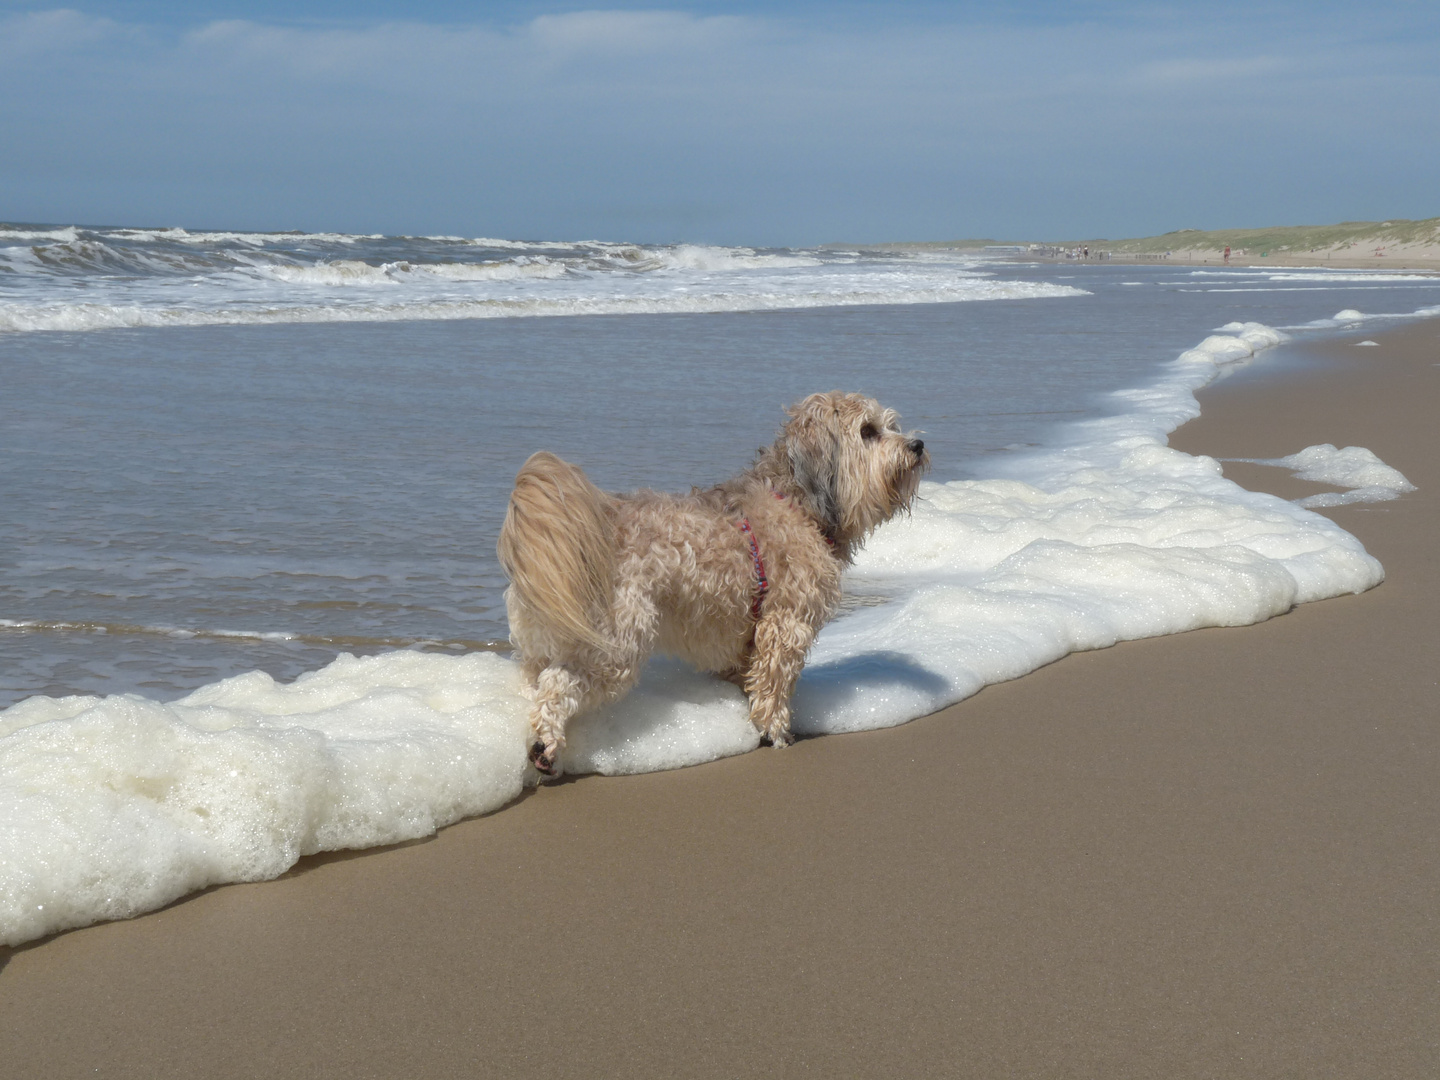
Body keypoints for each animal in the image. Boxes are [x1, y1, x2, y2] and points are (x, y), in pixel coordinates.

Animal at [498, 391, 921, 777]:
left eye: (892, 424)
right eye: (868, 431)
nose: (916, 445)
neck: (799, 503)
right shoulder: (784, 625)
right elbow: (773, 685)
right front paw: (776, 731)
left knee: (536, 681)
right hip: (616, 644)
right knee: (557, 683)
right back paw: (545, 745)